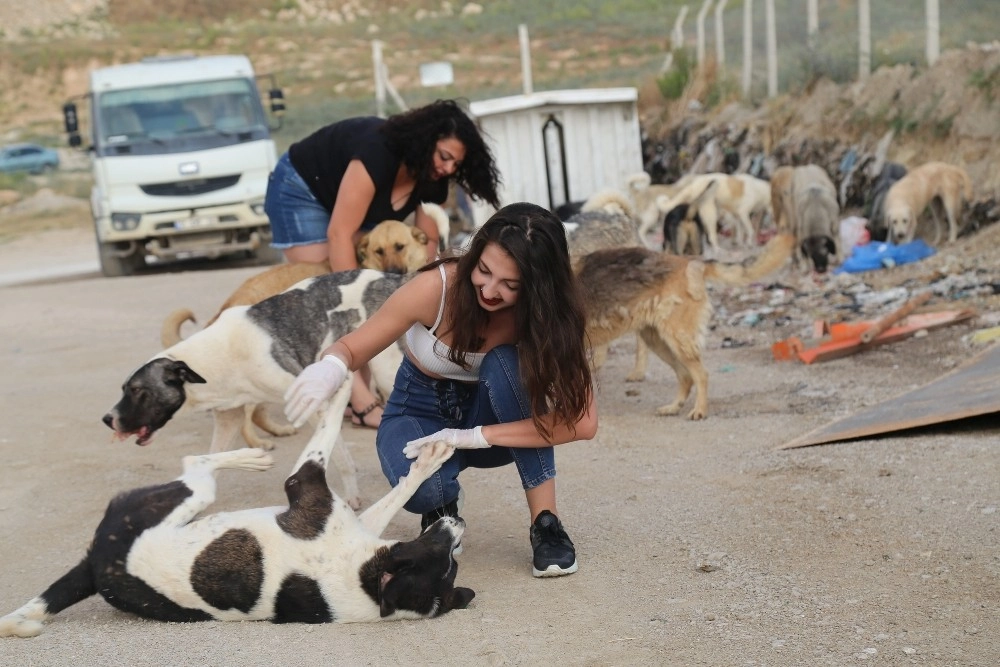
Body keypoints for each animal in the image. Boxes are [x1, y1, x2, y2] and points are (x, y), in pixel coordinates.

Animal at [0, 412, 472, 636]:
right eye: (439, 552)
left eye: (450, 561)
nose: (457, 523)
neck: (364, 585)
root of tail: (96, 565)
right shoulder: (317, 494)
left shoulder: (312, 491)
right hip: (189, 496)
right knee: (197, 459)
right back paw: (250, 455)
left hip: (184, 497)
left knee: (197, 463)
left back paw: (249, 457)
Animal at [104, 268, 406, 508]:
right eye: (125, 388)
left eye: (137, 390)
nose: (108, 419)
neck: (214, 359)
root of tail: (394, 277)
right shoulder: (229, 418)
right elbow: (214, 456)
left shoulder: (313, 407)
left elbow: (340, 455)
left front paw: (352, 494)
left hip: (385, 371)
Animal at [576, 232, 792, 420]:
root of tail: (691, 261)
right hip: (660, 342)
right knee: (685, 376)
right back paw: (674, 407)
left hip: (677, 339)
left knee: (700, 374)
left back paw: (700, 410)